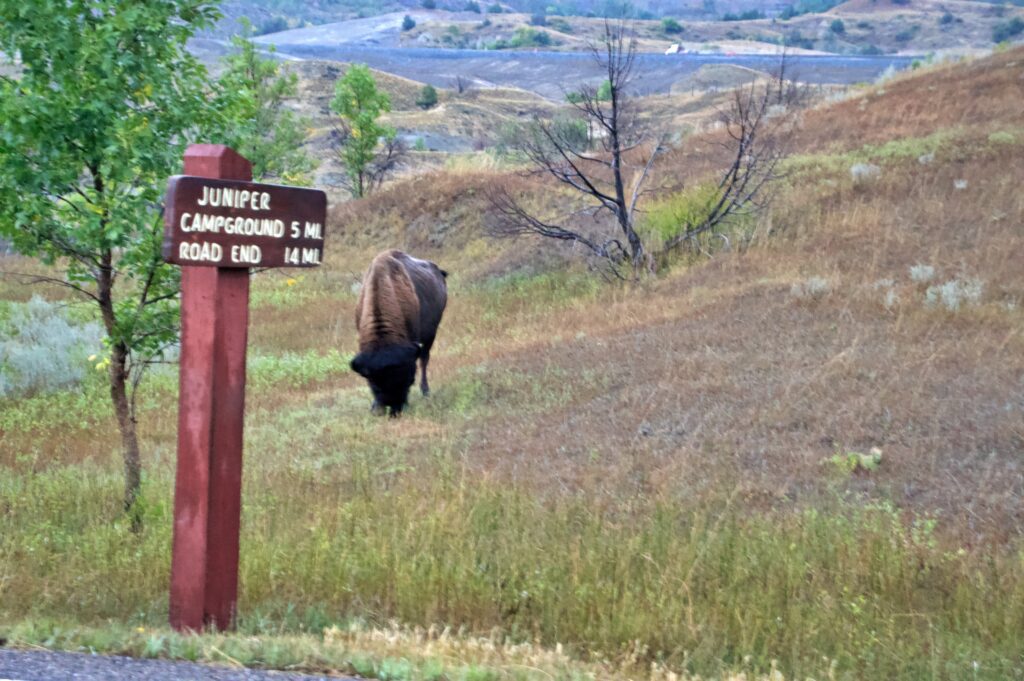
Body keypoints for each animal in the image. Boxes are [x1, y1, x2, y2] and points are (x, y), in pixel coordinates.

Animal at [351, 249, 448, 415]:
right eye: (374, 384)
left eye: (408, 380)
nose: (395, 409)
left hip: (431, 334)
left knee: (424, 359)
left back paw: (426, 392)